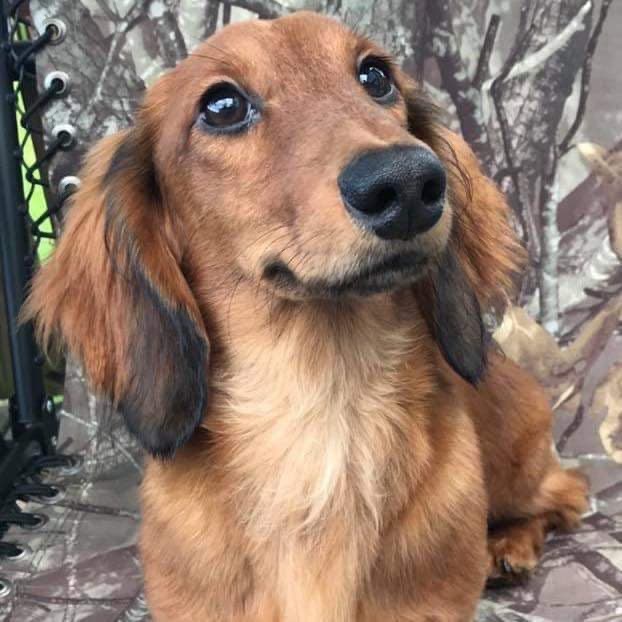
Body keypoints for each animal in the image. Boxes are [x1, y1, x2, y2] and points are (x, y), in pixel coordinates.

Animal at [25, 11, 589, 621]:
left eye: (375, 76)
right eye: (221, 106)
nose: (408, 183)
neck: (323, 411)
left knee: (566, 491)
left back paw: (509, 542)